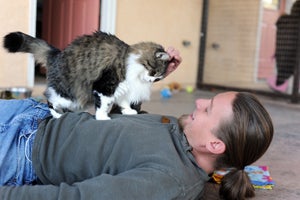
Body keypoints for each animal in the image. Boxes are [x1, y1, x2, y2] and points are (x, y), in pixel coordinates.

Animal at [4, 30, 171, 119]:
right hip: (67, 95)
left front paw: (129, 111)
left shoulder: (123, 89)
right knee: (49, 100)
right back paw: (58, 116)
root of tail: (56, 54)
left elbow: (123, 102)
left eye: (158, 78)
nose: (152, 80)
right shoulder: (105, 86)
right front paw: (103, 118)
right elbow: (104, 104)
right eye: (154, 73)